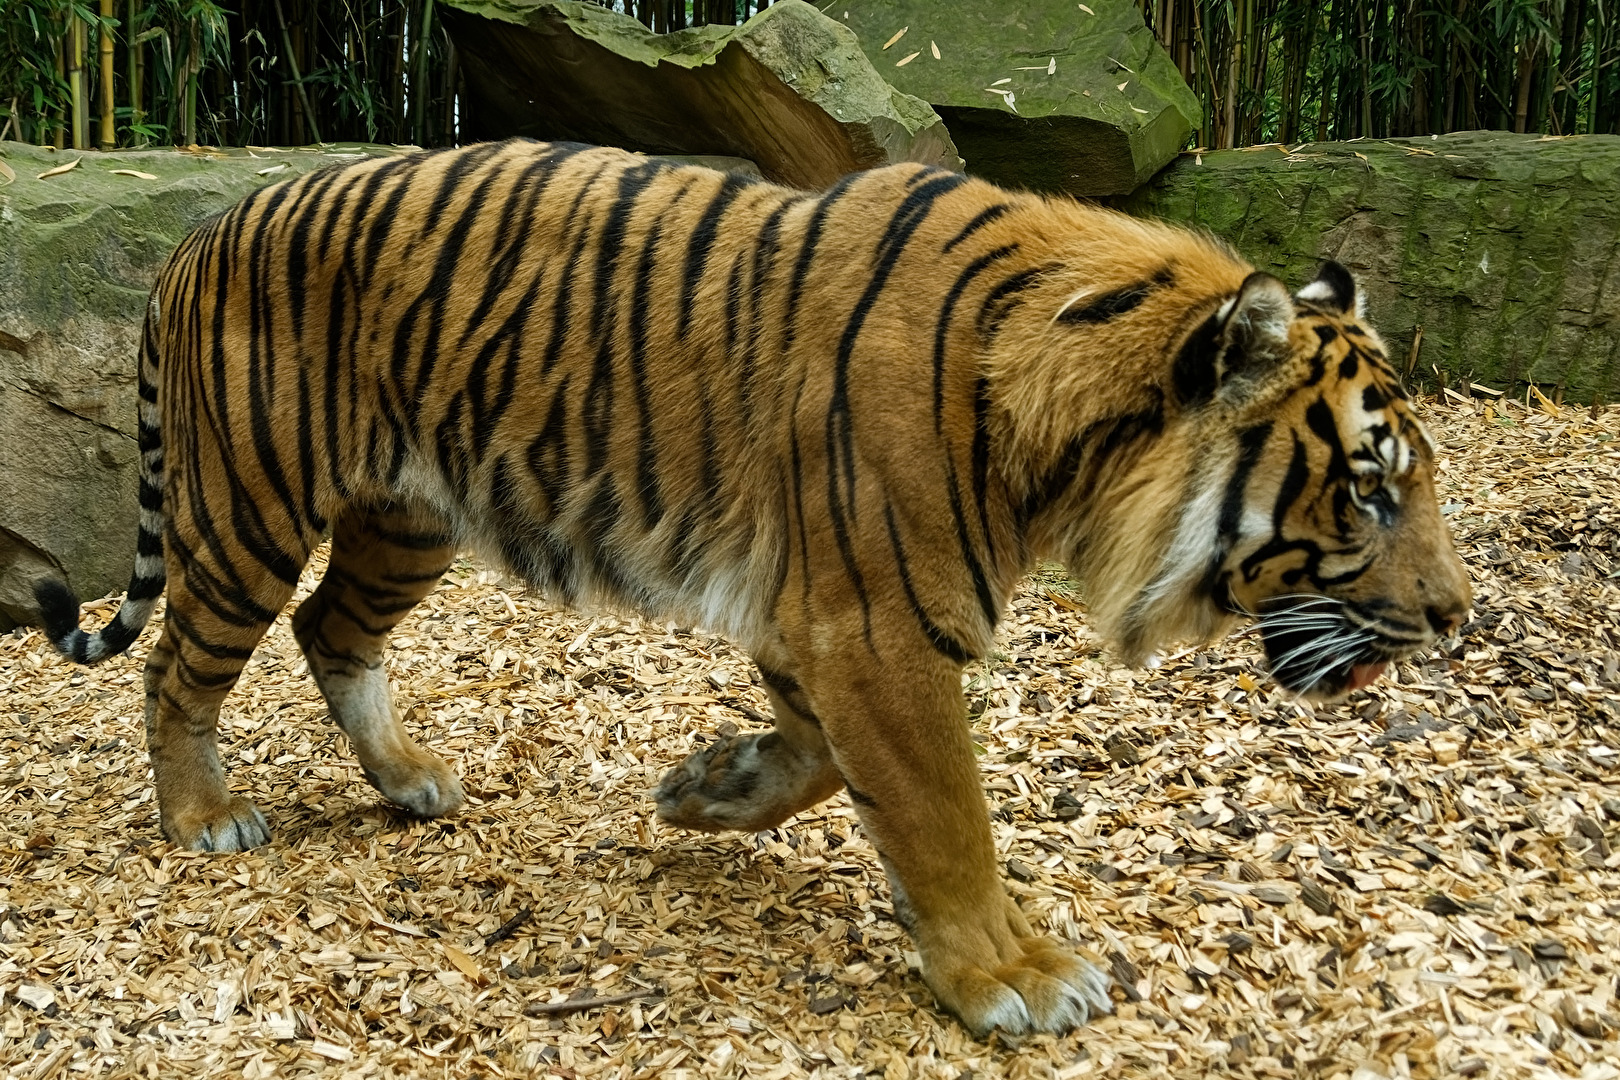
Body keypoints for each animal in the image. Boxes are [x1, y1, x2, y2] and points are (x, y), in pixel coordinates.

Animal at [32, 138, 1471, 1037]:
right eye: (1371, 489)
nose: (1458, 618)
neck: (1066, 437)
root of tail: (197, 232)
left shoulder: (822, 620)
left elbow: (833, 767)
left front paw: (708, 790)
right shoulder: (875, 625)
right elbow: (946, 812)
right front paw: (1010, 976)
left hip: (408, 517)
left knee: (332, 627)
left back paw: (407, 780)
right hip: (255, 508)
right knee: (177, 664)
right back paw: (205, 815)